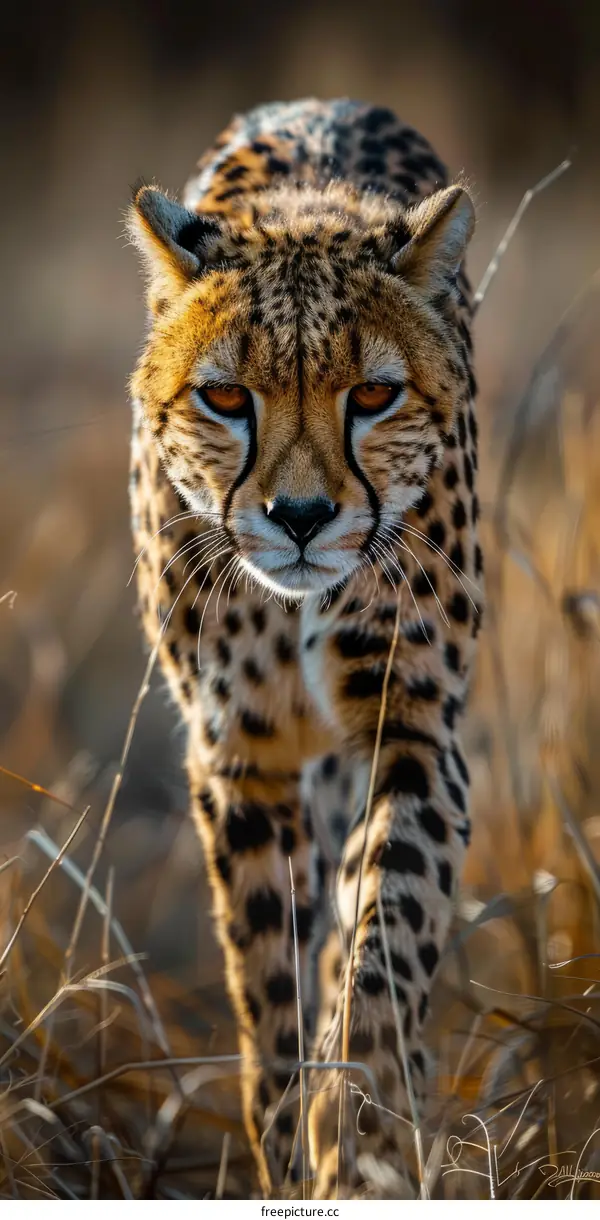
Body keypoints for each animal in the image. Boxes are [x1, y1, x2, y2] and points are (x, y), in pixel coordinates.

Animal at [127, 97, 482, 1199]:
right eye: (225, 398)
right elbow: (269, 981)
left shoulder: (412, 729)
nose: (298, 517)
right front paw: (293, 1150)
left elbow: (384, 943)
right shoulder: (243, 755)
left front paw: (358, 1139)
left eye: (370, 396)